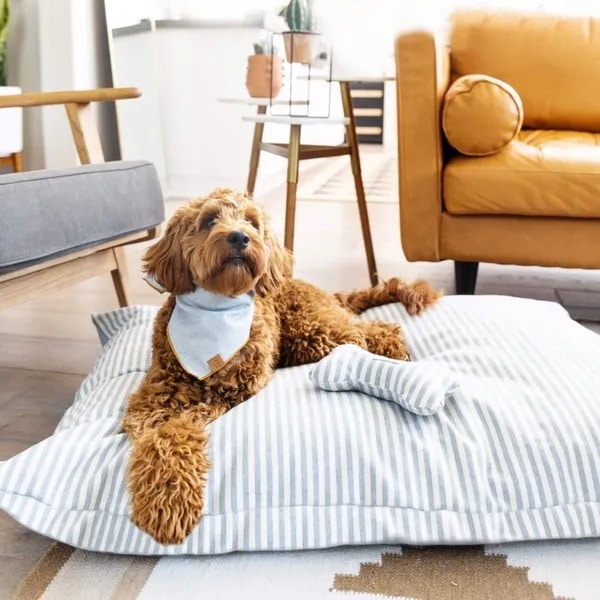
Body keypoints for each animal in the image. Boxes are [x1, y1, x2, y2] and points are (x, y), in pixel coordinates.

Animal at [123, 188, 440, 544]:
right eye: (209, 220)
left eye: (251, 221)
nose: (239, 237)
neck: (218, 308)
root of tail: (319, 289)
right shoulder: (150, 405)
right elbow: (164, 434)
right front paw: (166, 501)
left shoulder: (225, 397)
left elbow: (177, 428)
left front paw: (168, 504)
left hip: (313, 328)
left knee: (370, 330)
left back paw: (393, 346)